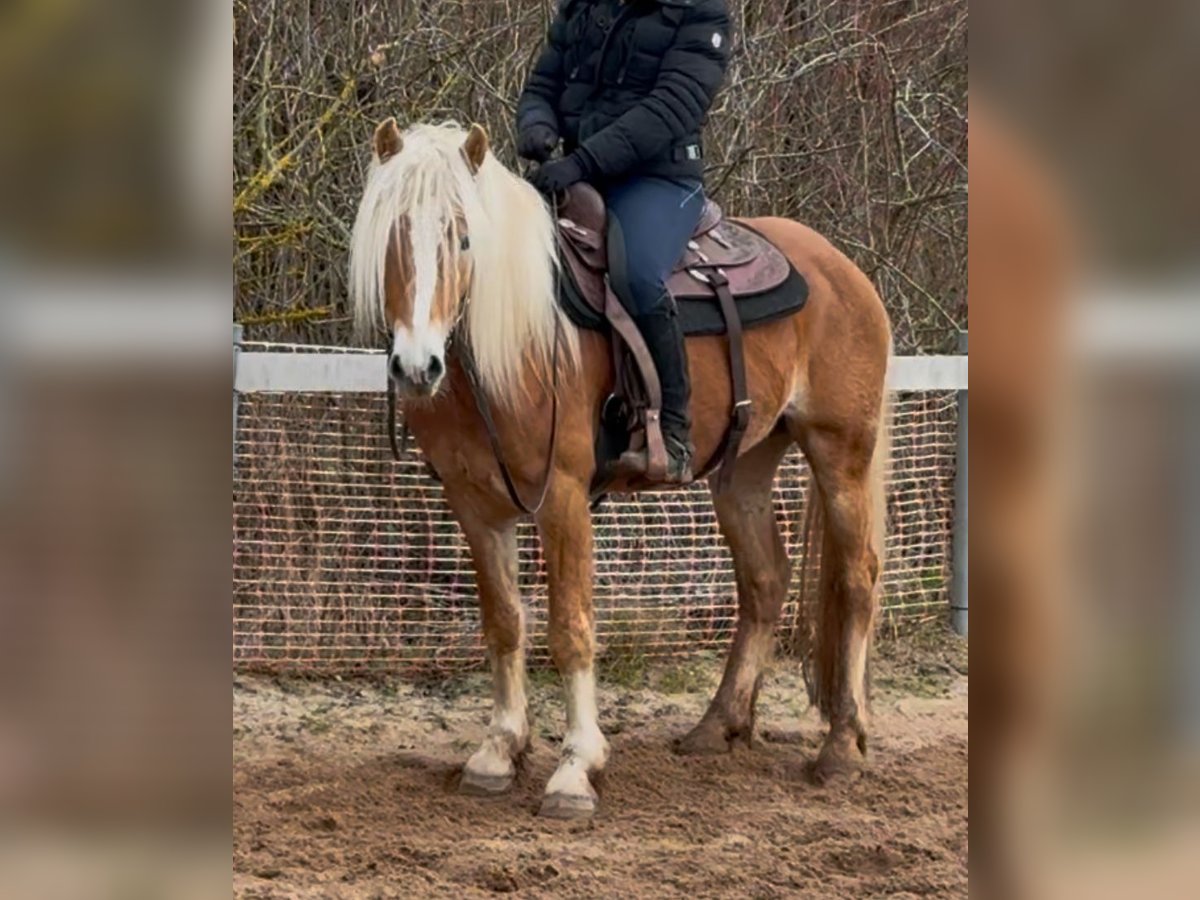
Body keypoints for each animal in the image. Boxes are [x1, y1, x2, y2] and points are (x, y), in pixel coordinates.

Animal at [348, 121, 892, 825]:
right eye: (390, 238)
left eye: (463, 238)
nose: (418, 368)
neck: (516, 342)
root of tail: (842, 268)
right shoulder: (475, 504)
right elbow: (504, 623)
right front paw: (498, 752)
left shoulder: (563, 496)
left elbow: (571, 628)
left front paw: (576, 769)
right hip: (744, 466)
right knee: (765, 580)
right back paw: (717, 726)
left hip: (840, 449)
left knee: (857, 581)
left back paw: (842, 748)